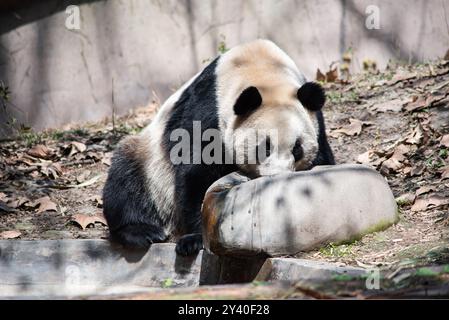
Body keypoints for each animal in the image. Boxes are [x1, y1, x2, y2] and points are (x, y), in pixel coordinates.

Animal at [101, 39, 332, 255]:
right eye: (264, 147)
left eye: (297, 149)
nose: (277, 176)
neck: (266, 74)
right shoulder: (209, 108)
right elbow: (195, 172)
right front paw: (195, 239)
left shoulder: (315, 121)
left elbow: (323, 157)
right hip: (150, 159)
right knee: (126, 177)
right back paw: (142, 231)